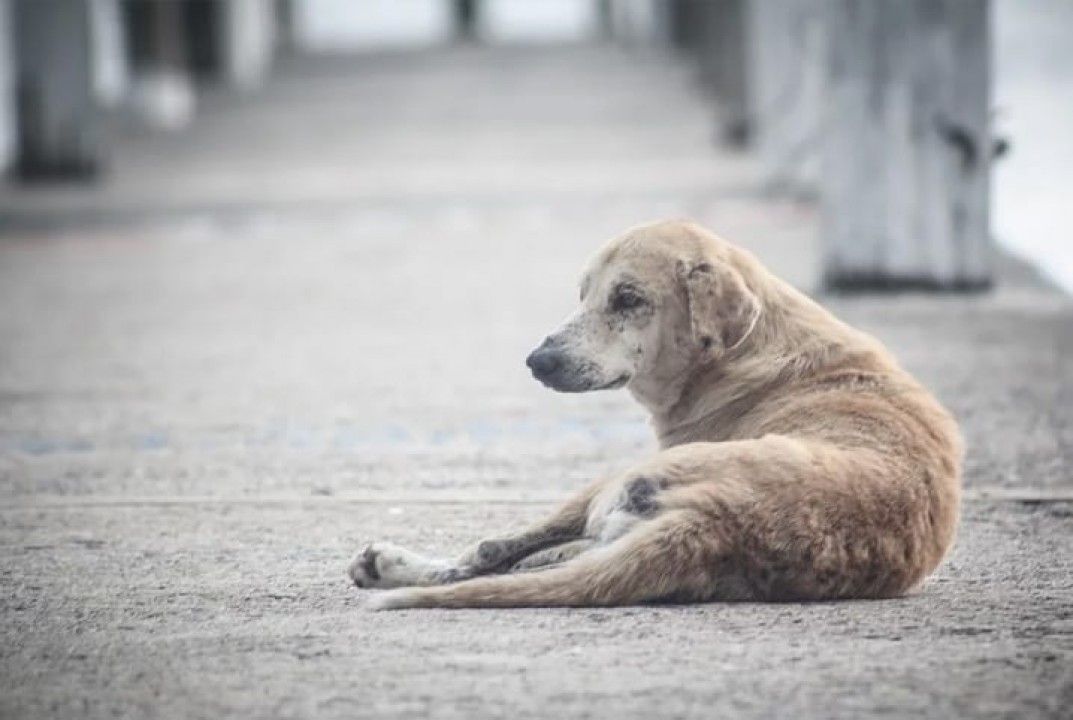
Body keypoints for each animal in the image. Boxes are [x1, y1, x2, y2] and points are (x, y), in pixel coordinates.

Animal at [345, 217, 965, 609]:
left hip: (615, 481)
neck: (748, 348)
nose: (537, 361)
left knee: (491, 555)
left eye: (628, 299)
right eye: (583, 295)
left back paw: (393, 566)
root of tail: (715, 522)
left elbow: (494, 548)